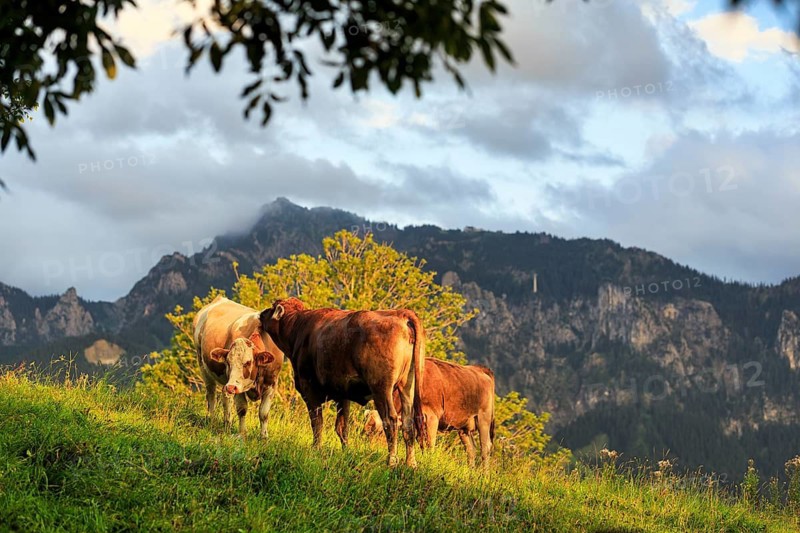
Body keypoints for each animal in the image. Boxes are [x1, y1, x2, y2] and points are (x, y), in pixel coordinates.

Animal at [194, 296, 284, 438]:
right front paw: (242, 434)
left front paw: (264, 437)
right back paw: (212, 420)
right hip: (202, 364)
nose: (231, 387)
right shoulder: (238, 387)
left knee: (225, 398)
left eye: (247, 362)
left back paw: (227, 424)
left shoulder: (272, 383)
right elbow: (242, 409)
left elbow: (264, 413)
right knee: (211, 394)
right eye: (228, 362)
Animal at [259, 297, 426, 468]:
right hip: (407, 386)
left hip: (381, 388)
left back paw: (391, 461)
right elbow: (342, 427)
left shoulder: (309, 389)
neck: (298, 328)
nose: (262, 313)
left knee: (390, 420)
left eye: (272, 308)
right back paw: (410, 463)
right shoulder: (343, 394)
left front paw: (316, 448)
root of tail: (400, 314)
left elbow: (317, 423)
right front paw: (346, 452)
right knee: (408, 423)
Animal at [362, 359, 495, 465]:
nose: (372, 449)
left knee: (485, 448)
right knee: (471, 449)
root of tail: (479, 369)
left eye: (379, 432)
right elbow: (420, 442)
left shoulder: (432, 417)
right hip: (464, 427)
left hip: (484, 418)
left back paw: (484, 476)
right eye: (366, 432)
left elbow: (430, 443)